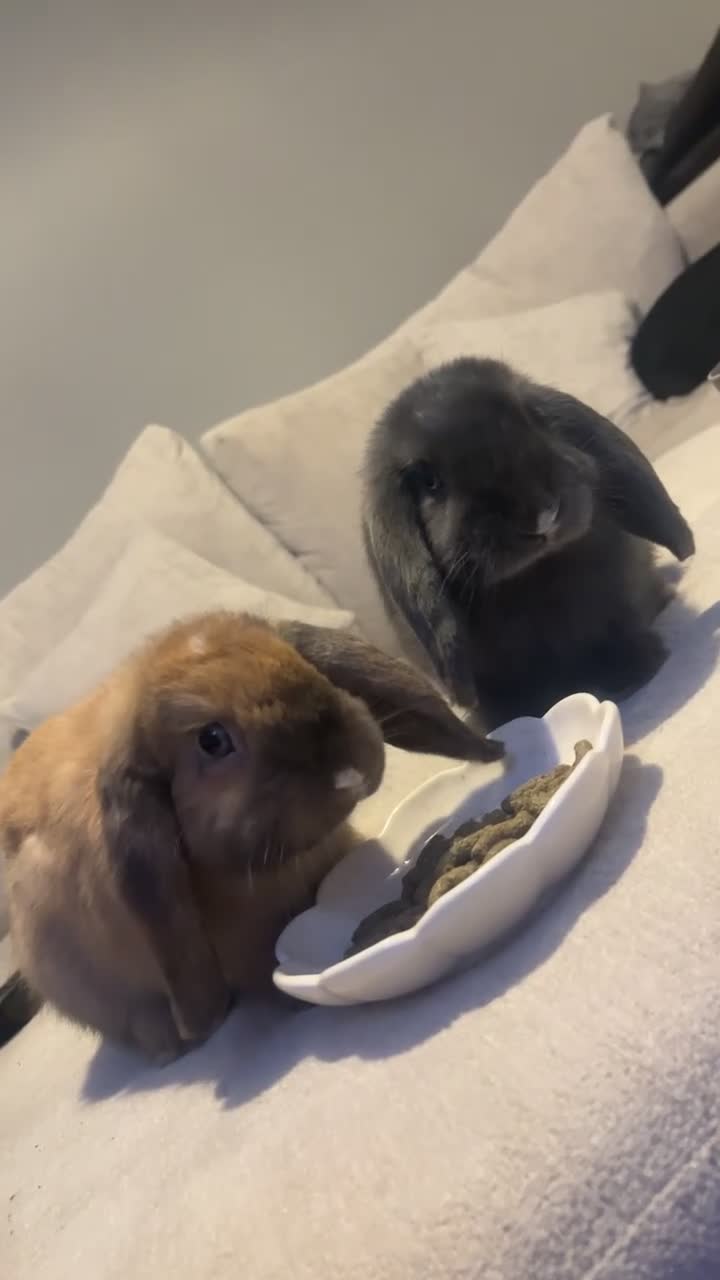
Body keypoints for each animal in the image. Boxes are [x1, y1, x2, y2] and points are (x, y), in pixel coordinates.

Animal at [363, 357, 695, 729]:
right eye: (431, 482)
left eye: (532, 418)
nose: (542, 514)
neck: (535, 574)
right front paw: (514, 718)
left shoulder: (618, 598)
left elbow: (619, 627)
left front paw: (640, 666)